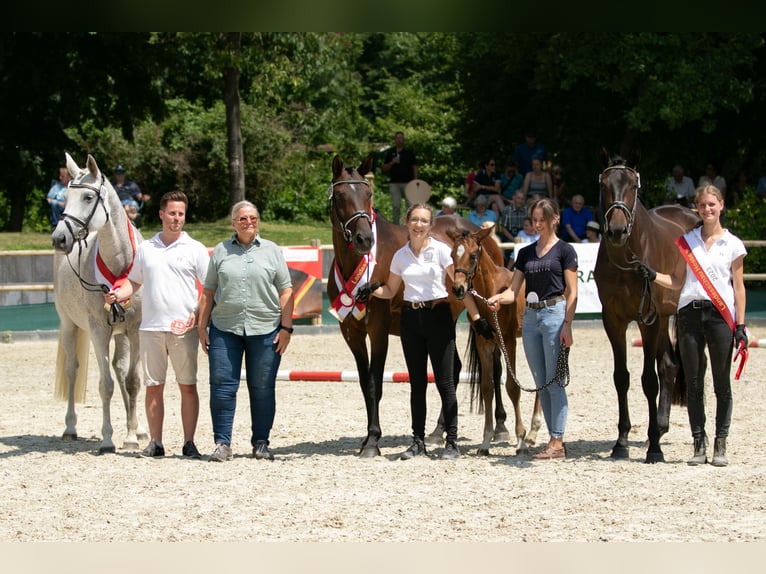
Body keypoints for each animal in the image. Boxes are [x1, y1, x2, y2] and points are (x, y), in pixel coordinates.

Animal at [324, 156, 510, 460]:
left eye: (368, 194)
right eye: (340, 195)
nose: (364, 239)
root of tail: (483, 235)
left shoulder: (378, 330)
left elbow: (375, 383)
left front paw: (373, 441)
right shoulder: (351, 332)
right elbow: (364, 383)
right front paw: (366, 439)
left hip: (483, 320)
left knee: (493, 367)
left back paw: (501, 427)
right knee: (454, 369)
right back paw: (438, 431)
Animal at [448, 227, 544, 456]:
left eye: (473, 255)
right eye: (452, 254)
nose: (458, 289)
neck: (491, 291)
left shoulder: (508, 341)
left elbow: (512, 387)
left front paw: (520, 439)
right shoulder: (485, 343)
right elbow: (486, 388)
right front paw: (485, 441)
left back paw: (532, 432)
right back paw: (534, 432)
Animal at [592, 147, 704, 464]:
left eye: (633, 186)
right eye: (604, 185)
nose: (617, 229)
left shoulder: (648, 319)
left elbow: (648, 381)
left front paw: (654, 448)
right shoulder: (613, 320)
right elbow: (622, 378)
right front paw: (621, 442)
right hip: (665, 318)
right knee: (669, 365)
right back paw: (662, 427)